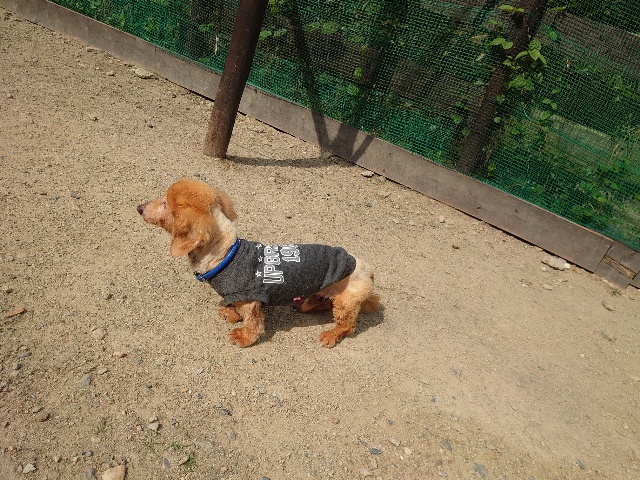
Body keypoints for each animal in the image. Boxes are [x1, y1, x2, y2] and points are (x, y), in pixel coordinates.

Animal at [137, 179, 380, 347]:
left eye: (165, 203)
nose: (139, 207)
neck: (226, 254)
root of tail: (369, 271)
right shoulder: (237, 295)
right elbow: (235, 308)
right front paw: (231, 314)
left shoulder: (250, 298)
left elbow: (253, 323)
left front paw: (243, 337)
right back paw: (306, 305)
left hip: (346, 301)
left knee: (348, 325)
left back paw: (331, 335)